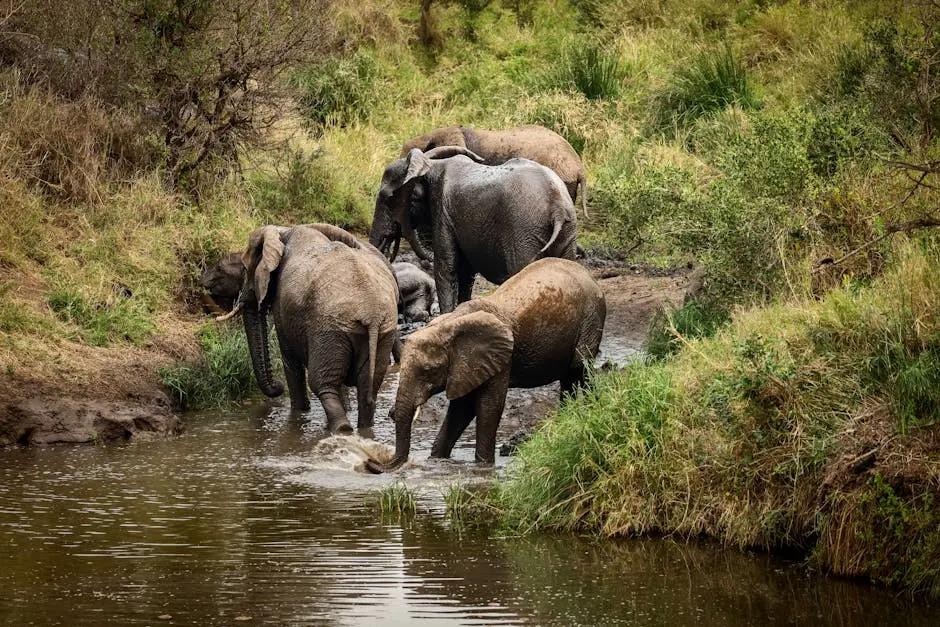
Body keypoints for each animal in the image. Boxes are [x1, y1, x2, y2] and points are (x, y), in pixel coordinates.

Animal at [224, 223, 400, 434]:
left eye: (244, 268)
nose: (278, 386)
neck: (283, 232)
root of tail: (371, 316)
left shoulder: (283, 307)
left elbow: (290, 359)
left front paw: (299, 413)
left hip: (329, 331)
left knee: (321, 384)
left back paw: (341, 428)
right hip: (382, 332)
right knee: (367, 386)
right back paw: (363, 428)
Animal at [364, 258, 604, 474]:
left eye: (429, 371)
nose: (370, 463)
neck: (451, 323)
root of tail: (588, 274)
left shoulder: (500, 358)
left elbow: (488, 406)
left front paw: (483, 468)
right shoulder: (466, 365)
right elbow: (462, 408)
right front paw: (437, 461)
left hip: (592, 319)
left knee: (581, 369)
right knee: (569, 378)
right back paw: (565, 421)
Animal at [370, 146, 576, 314]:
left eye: (387, 198)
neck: (430, 166)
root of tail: (557, 207)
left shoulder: (443, 213)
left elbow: (446, 269)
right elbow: (465, 273)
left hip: (523, 231)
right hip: (566, 229)